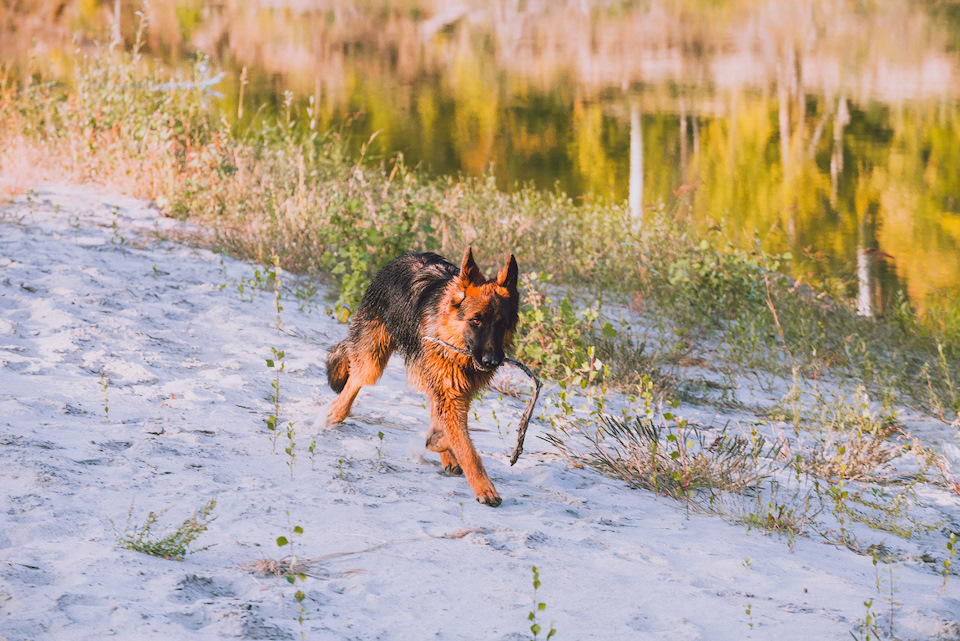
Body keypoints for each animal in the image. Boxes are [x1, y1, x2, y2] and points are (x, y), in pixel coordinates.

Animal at [324, 249, 520, 504]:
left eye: (502, 325)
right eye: (475, 321)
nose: (492, 361)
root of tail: (406, 255)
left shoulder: (455, 392)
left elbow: (451, 431)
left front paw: (441, 444)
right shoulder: (450, 394)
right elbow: (466, 448)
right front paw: (484, 488)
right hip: (373, 360)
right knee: (354, 382)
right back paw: (335, 413)